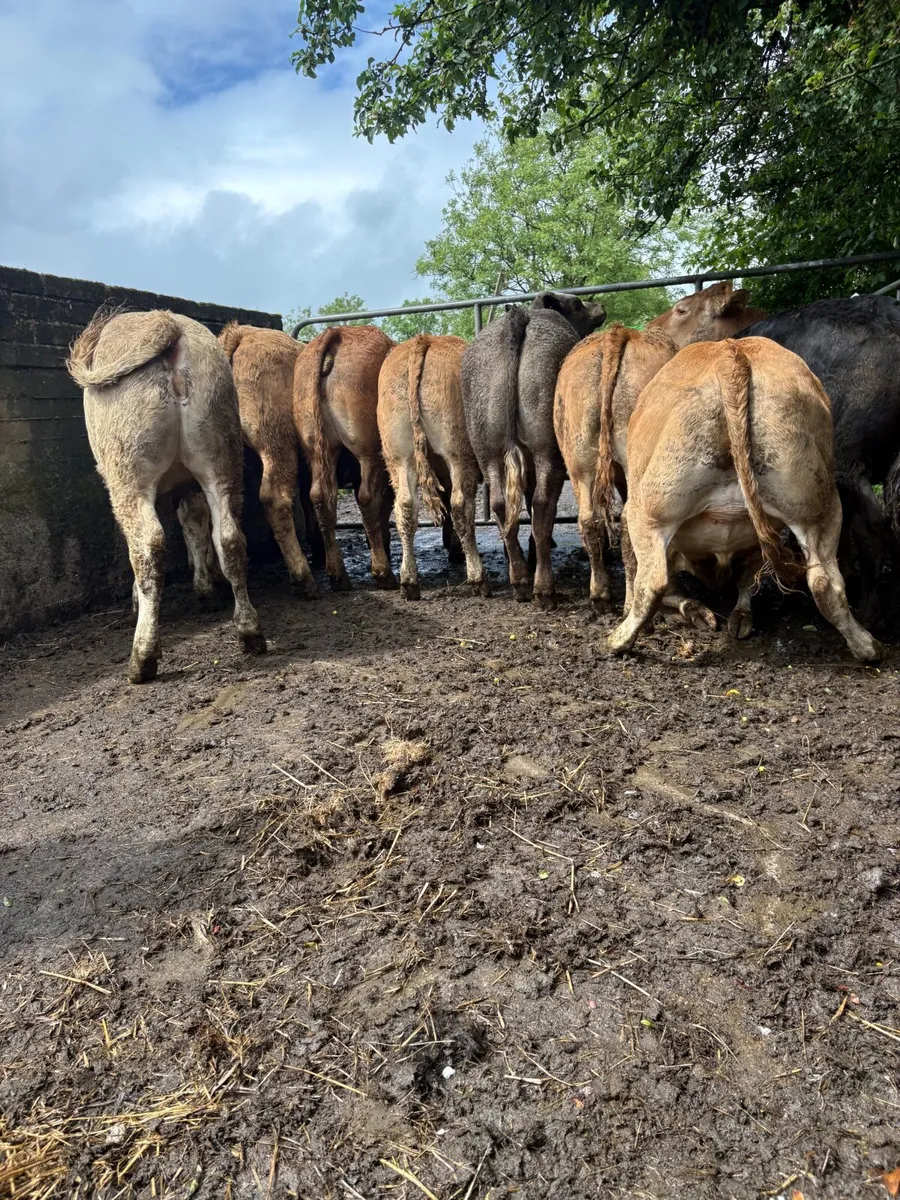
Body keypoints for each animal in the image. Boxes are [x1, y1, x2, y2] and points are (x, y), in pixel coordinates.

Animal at [67, 309, 266, 684]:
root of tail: (165, 323)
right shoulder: (189, 486)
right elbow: (195, 528)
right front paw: (205, 588)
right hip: (219, 452)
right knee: (230, 538)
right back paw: (249, 632)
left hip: (127, 468)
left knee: (148, 546)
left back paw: (142, 658)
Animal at [293, 325, 397, 592]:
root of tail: (336, 333)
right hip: (368, 452)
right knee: (366, 499)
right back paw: (383, 573)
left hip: (318, 451)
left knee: (321, 498)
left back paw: (338, 576)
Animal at [378, 334, 489, 599]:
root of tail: (424, 340)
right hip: (457, 453)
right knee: (461, 506)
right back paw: (478, 578)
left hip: (400, 456)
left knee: (405, 507)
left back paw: (409, 581)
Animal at [461, 292, 607, 607]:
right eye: (577, 304)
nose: (600, 306)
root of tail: (519, 318)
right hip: (546, 448)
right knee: (542, 505)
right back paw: (543, 587)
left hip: (487, 448)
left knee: (501, 504)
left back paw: (520, 579)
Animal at [605, 337, 882, 663]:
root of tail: (730, 353)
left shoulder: (631, 516)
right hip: (817, 507)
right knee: (826, 583)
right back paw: (866, 645)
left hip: (649, 511)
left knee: (651, 583)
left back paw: (619, 640)